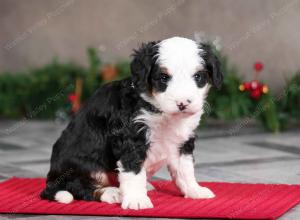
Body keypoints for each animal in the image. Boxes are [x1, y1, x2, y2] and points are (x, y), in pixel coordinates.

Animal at [40, 37, 223, 211]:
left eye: (198, 76)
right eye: (163, 78)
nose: (183, 103)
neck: (159, 111)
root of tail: (51, 181)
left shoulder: (183, 141)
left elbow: (185, 169)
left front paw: (194, 190)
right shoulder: (130, 138)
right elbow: (133, 171)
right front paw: (137, 199)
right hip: (80, 167)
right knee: (79, 187)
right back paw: (111, 193)